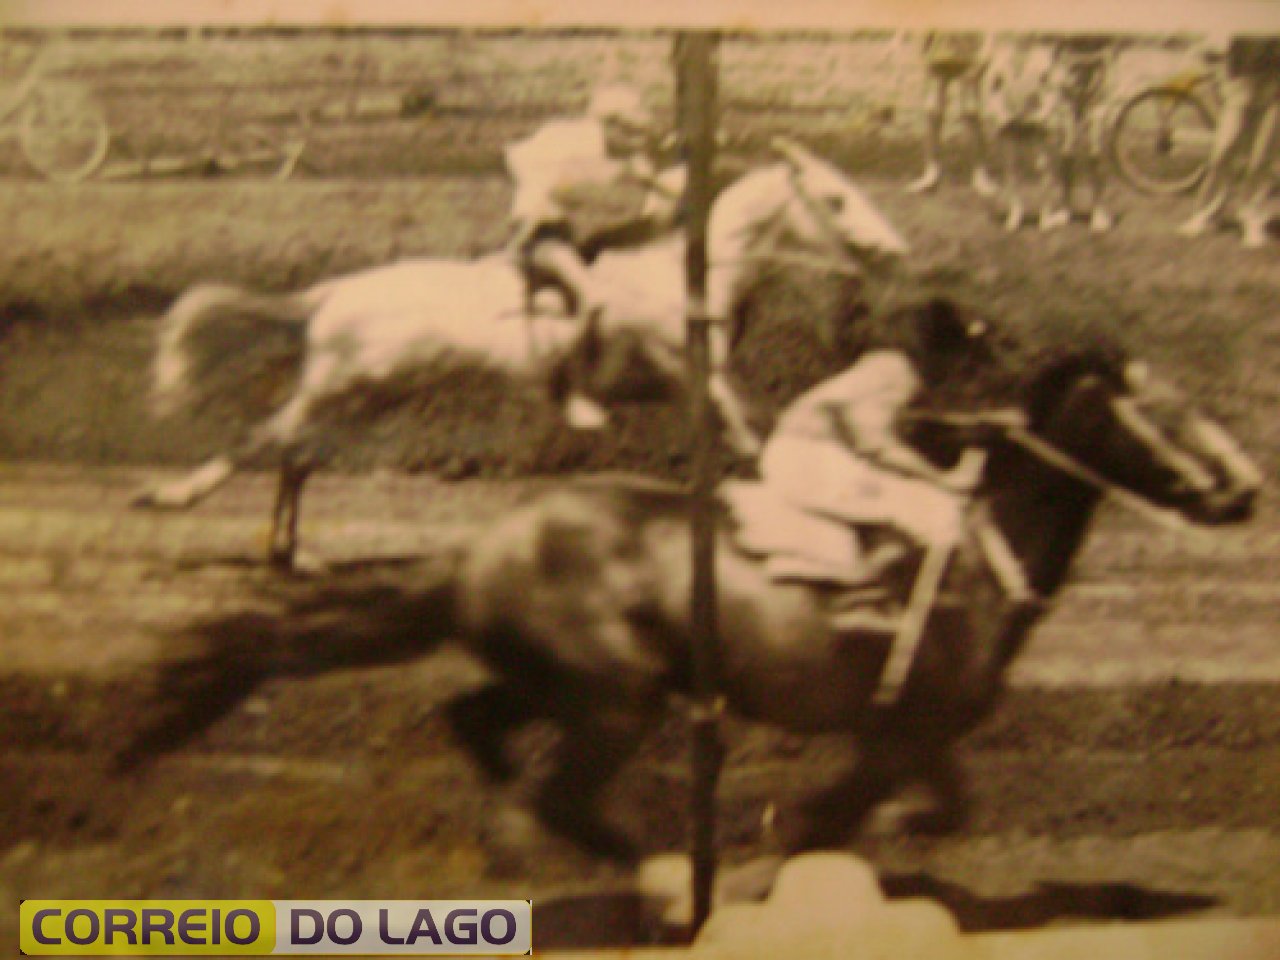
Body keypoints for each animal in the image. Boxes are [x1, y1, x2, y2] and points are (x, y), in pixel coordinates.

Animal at [120, 348, 1259, 865]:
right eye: (1168, 409)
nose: (1245, 489)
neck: (981, 553)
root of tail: (474, 548)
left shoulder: (915, 734)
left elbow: (936, 810)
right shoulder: (903, 727)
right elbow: (841, 819)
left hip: (571, 683)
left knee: (475, 721)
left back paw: (539, 843)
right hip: (615, 699)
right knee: (557, 789)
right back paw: (629, 859)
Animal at [135, 138, 906, 568]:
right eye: (836, 199)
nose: (891, 249)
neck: (688, 277)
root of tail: (329, 293)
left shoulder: (692, 387)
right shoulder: (698, 376)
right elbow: (754, 438)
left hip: (357, 394)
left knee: (294, 458)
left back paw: (291, 553)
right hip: (341, 386)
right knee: (261, 441)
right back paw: (174, 497)